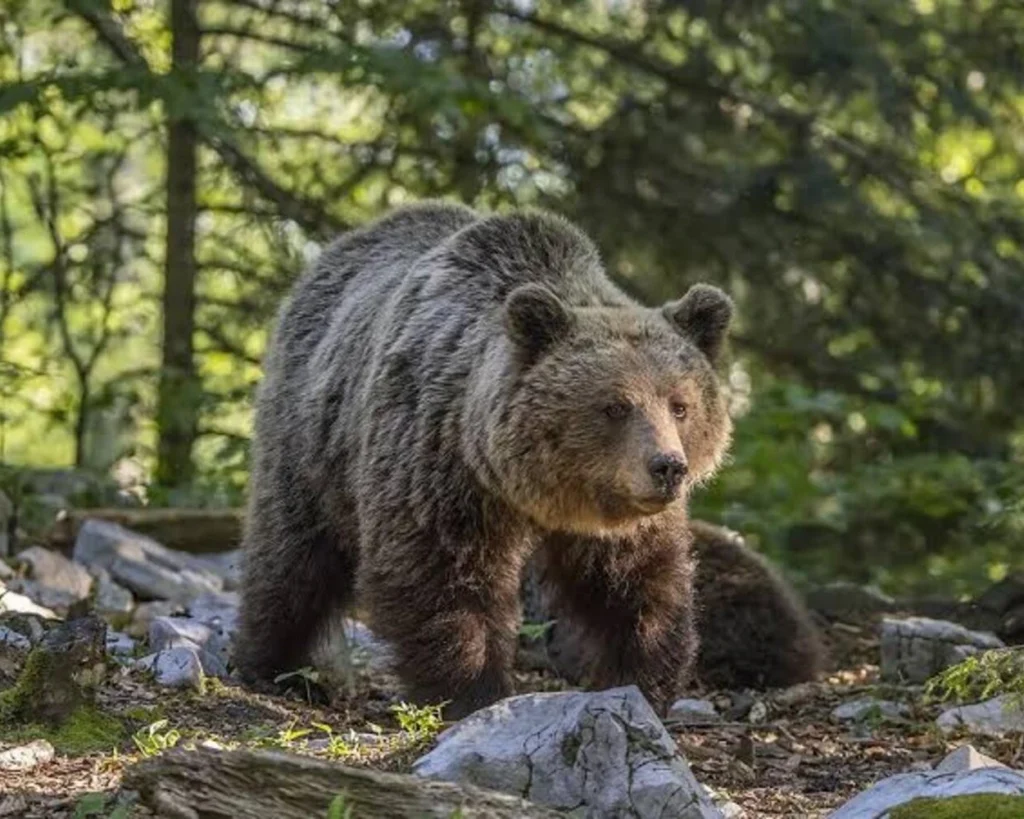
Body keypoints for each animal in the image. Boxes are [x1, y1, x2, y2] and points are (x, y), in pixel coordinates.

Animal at [233, 201, 734, 718]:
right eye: (615, 406)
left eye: (680, 405)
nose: (668, 466)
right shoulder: (439, 466)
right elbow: (441, 576)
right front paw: (473, 691)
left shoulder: (619, 516)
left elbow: (637, 585)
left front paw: (641, 681)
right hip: (311, 438)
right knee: (293, 557)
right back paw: (275, 666)